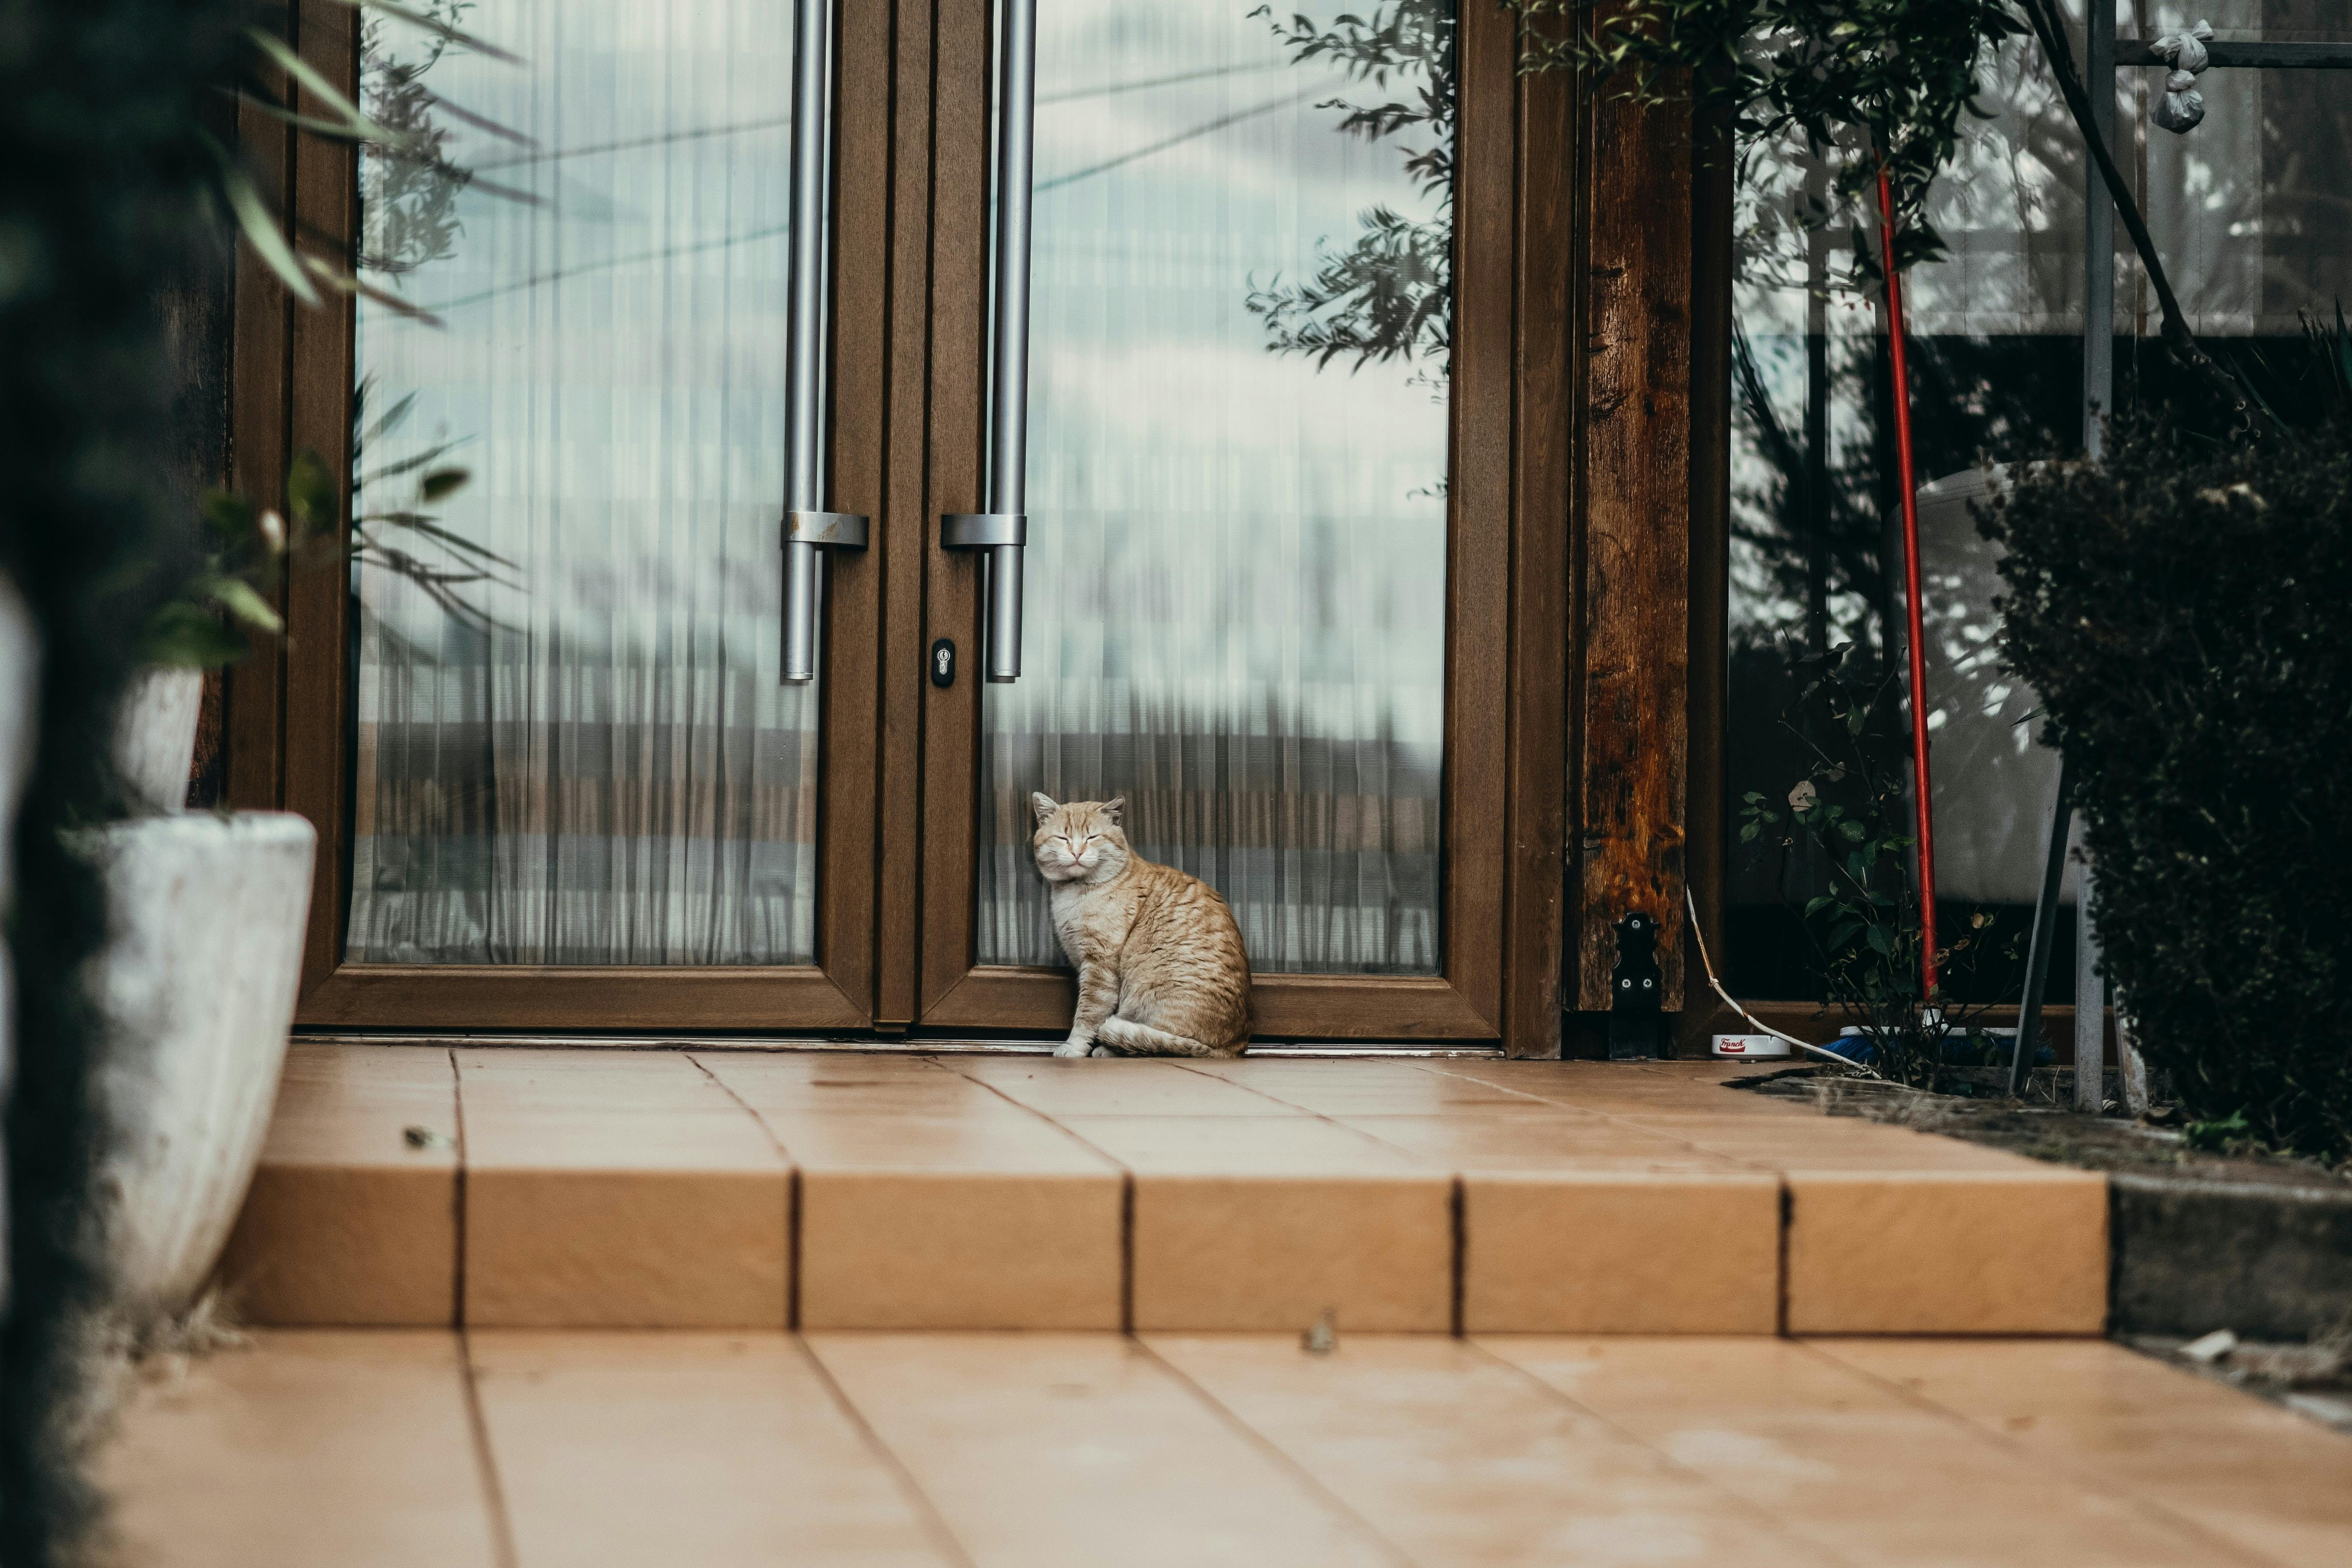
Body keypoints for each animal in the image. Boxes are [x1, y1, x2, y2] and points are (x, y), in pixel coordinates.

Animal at [1030, 790, 1251, 1062]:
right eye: (1063, 838)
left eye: (1092, 837)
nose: (1077, 853)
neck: (1076, 893)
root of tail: (1233, 1049)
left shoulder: (1099, 966)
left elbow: (1089, 1014)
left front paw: (1075, 1047)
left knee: (1153, 1044)